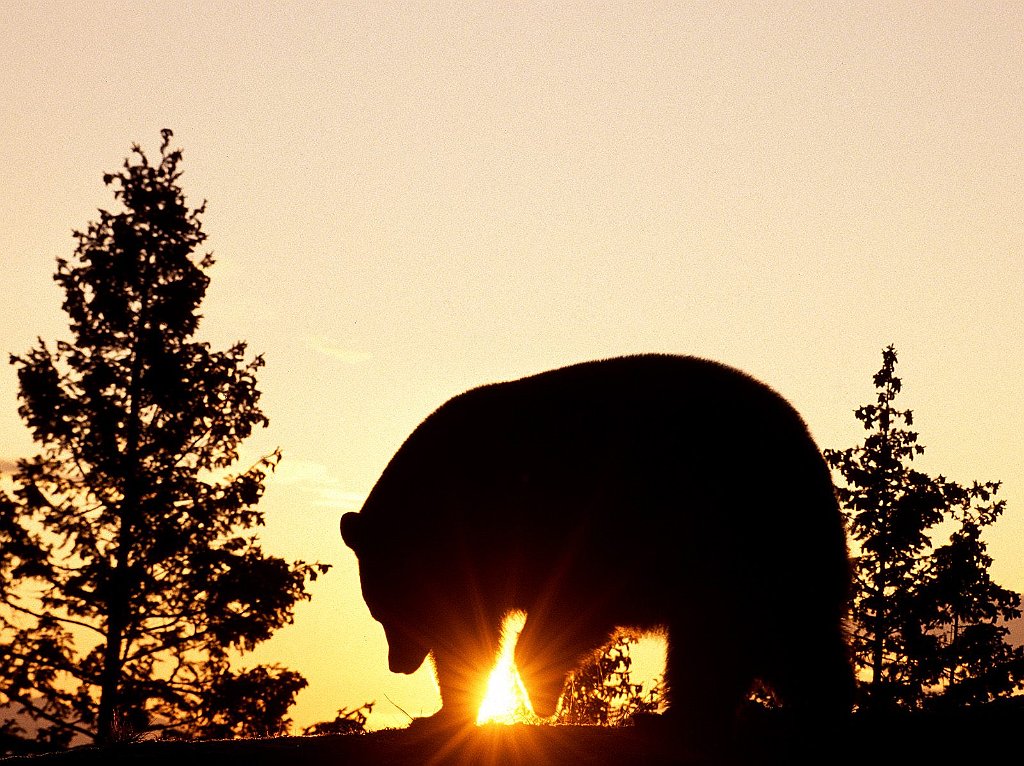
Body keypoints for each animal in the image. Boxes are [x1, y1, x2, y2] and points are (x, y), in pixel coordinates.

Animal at [339, 356, 851, 749]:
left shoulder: (575, 529)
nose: (398, 663)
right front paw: (444, 714)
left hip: (740, 538)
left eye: (388, 610)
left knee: (745, 636)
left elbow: (569, 607)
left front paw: (542, 692)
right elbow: (467, 640)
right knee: (766, 642)